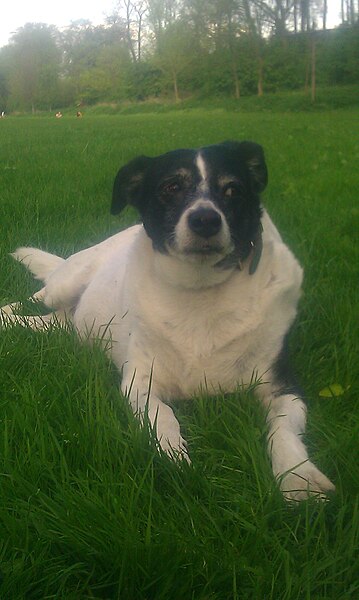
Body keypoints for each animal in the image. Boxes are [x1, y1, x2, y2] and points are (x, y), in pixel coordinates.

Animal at [1, 141, 336, 502]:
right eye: (171, 187)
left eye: (232, 189)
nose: (205, 220)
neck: (200, 290)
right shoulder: (140, 384)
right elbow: (163, 417)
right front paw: (173, 457)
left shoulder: (283, 386)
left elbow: (283, 428)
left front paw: (298, 478)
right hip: (64, 285)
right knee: (31, 299)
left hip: (67, 324)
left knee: (44, 322)